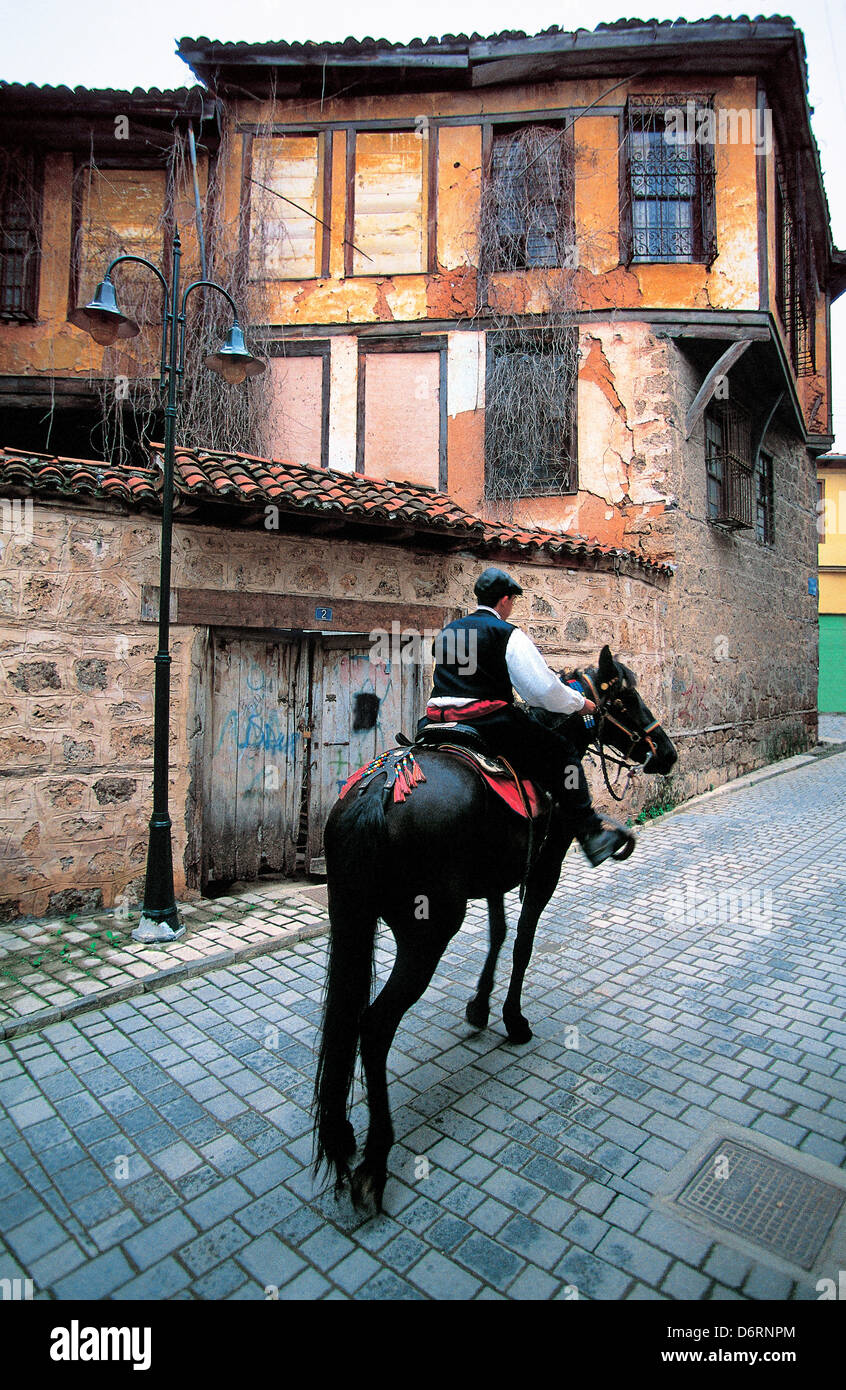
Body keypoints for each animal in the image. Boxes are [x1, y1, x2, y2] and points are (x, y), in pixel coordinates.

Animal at [313, 644, 675, 1212]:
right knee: (374, 1026)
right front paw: (512, 1018)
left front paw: (480, 1007)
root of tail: (380, 792)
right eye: (623, 697)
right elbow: (523, 940)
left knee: (347, 1020)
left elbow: (499, 934)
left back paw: (343, 1135)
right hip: (428, 930)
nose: (667, 753)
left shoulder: (498, 876)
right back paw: (374, 1162)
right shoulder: (544, 865)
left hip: (352, 916)